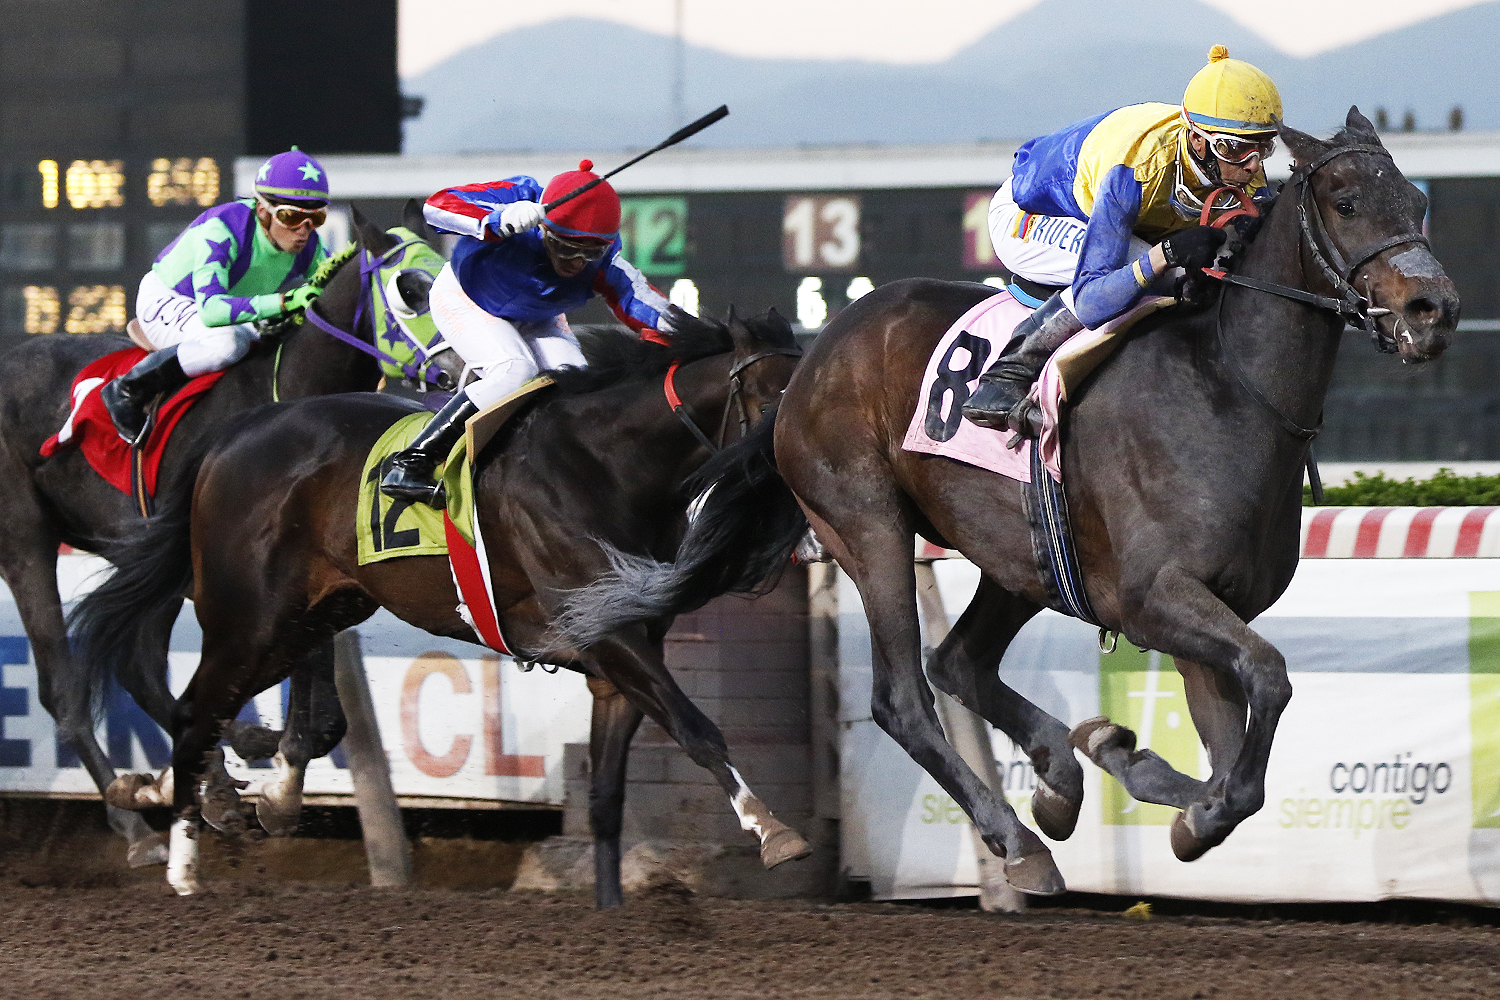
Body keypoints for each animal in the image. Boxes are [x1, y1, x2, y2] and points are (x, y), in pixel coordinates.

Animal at [0, 202, 460, 865]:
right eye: (410, 287)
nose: (460, 367)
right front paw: (262, 779)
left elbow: (324, 716)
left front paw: (269, 771)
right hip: (26, 539)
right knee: (65, 687)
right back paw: (139, 826)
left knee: (140, 668)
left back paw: (217, 768)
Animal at [69, 308, 809, 903]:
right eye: (774, 397)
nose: (800, 477)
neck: (605, 464)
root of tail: (232, 434)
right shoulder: (609, 637)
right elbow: (698, 728)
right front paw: (775, 833)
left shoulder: (619, 660)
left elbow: (607, 796)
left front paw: (610, 911)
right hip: (247, 616)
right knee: (196, 711)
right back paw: (185, 862)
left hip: (315, 613)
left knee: (216, 710)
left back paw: (239, 800)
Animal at [553, 108, 1460, 893]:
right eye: (1346, 202)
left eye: (1418, 203)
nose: (1435, 310)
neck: (1229, 389)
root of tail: (813, 359)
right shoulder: (1154, 597)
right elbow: (1268, 683)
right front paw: (1175, 802)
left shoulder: (1210, 608)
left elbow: (1236, 758)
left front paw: (1144, 773)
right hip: (868, 525)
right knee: (904, 697)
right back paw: (1019, 840)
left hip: (1017, 557)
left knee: (959, 661)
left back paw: (1064, 775)